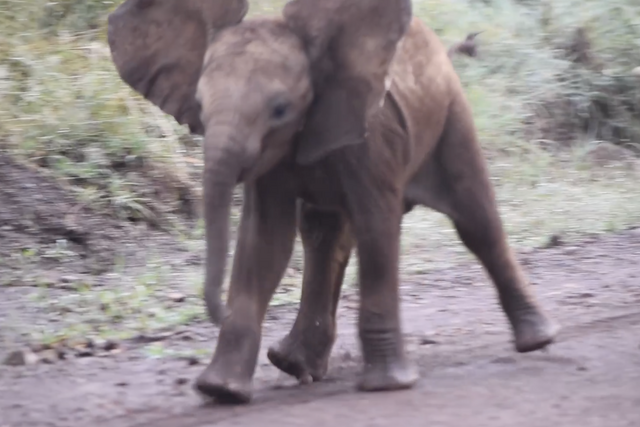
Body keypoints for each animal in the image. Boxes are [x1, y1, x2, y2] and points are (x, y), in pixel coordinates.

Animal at [107, 0, 559, 404]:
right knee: (323, 237)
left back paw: (537, 341)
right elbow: (265, 241)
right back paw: (291, 363)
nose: (216, 313)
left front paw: (387, 386)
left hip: (451, 111)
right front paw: (221, 391)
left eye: (280, 109)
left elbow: (377, 225)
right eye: (199, 105)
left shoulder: (371, 137)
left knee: (475, 219)